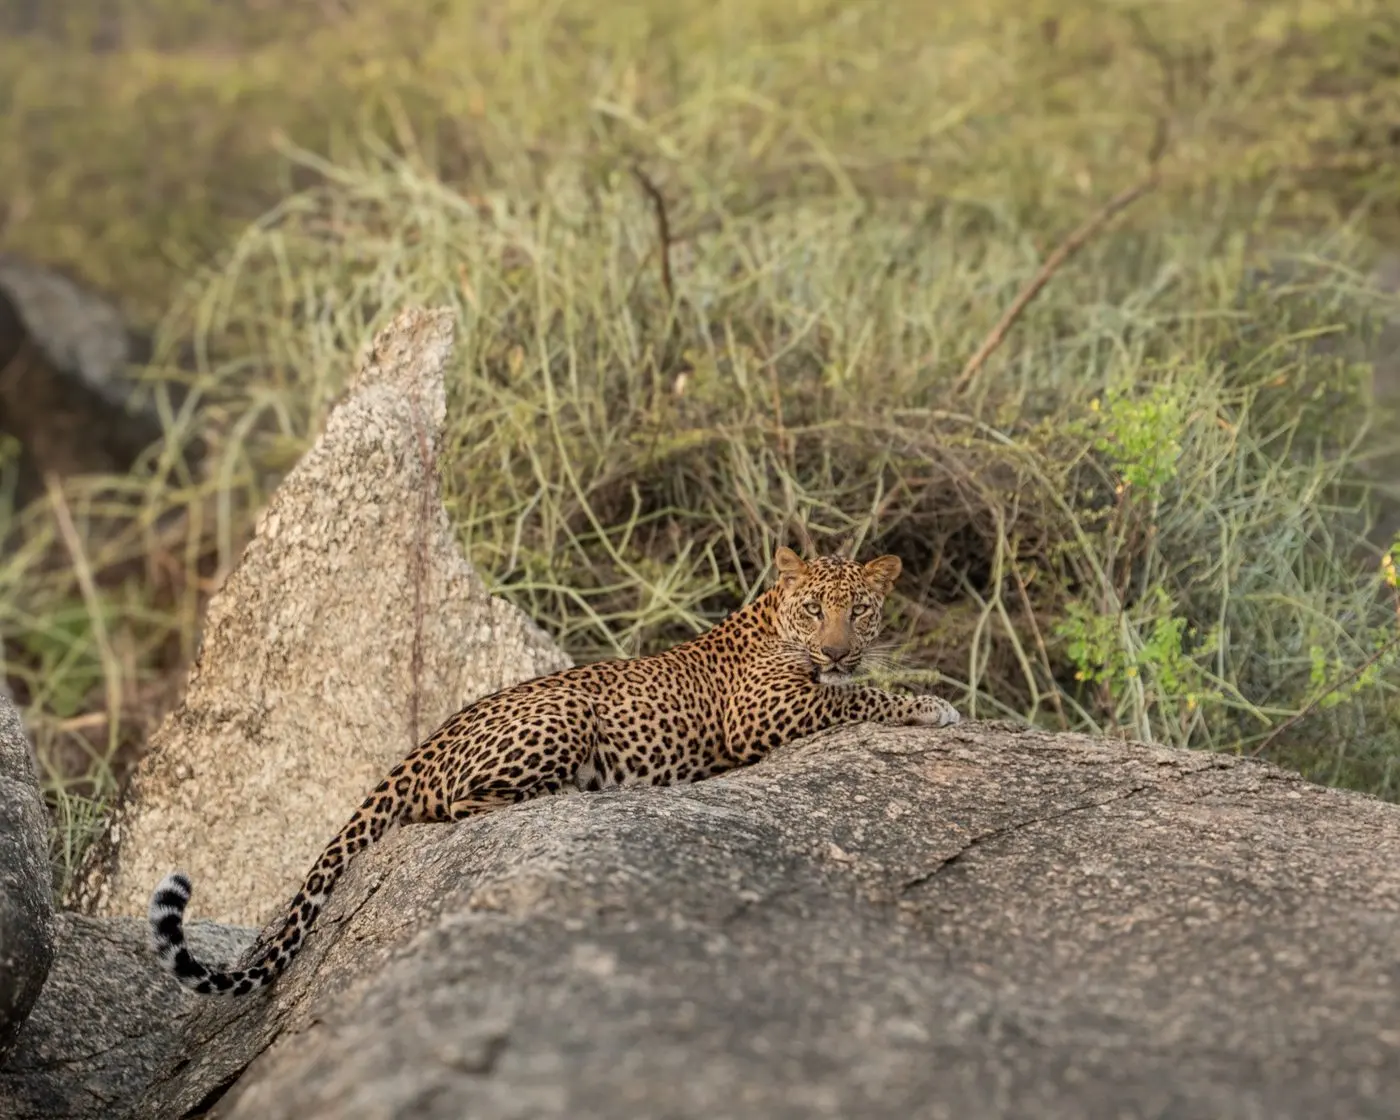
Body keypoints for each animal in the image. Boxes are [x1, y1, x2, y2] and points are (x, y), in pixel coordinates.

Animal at [148, 546, 961, 996]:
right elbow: (858, 699)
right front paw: (933, 705)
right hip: (564, 714)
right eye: (815, 608)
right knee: (454, 804)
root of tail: (422, 743)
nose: (838, 649)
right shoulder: (765, 713)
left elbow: (856, 690)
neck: (772, 622)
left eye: (861, 610)